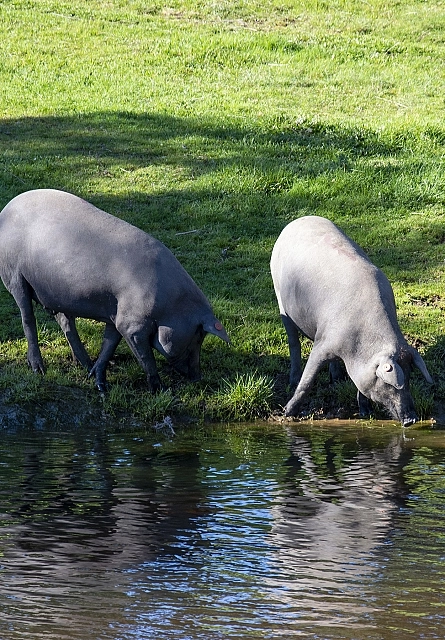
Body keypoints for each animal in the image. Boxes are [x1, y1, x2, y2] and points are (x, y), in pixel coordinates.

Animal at [0, 188, 229, 392]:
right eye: (198, 336)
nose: (198, 378)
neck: (171, 305)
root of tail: (6, 208)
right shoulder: (132, 325)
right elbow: (146, 358)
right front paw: (160, 390)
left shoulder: (116, 316)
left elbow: (108, 346)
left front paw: (100, 383)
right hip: (15, 277)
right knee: (28, 318)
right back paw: (39, 369)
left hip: (56, 293)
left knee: (66, 322)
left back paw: (85, 364)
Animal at [268, 215, 432, 424]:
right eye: (391, 384)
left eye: (410, 377)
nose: (411, 420)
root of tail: (296, 221)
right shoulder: (322, 342)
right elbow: (308, 381)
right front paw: (287, 413)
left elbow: (361, 386)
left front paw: (366, 413)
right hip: (280, 299)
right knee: (293, 343)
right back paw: (292, 382)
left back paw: (337, 380)